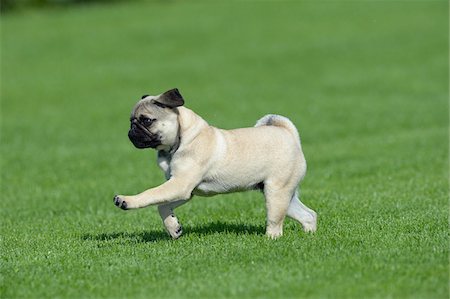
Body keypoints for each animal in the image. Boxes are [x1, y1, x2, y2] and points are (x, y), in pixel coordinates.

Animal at [112, 88, 316, 239]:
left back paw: (271, 238)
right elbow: (162, 206)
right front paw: (174, 228)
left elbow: (150, 194)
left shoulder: (179, 185)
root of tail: (288, 133)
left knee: (275, 222)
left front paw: (126, 200)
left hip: (276, 192)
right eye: (131, 121)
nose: (131, 131)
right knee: (309, 215)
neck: (180, 140)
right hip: (281, 193)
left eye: (146, 120)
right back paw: (309, 234)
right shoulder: (184, 190)